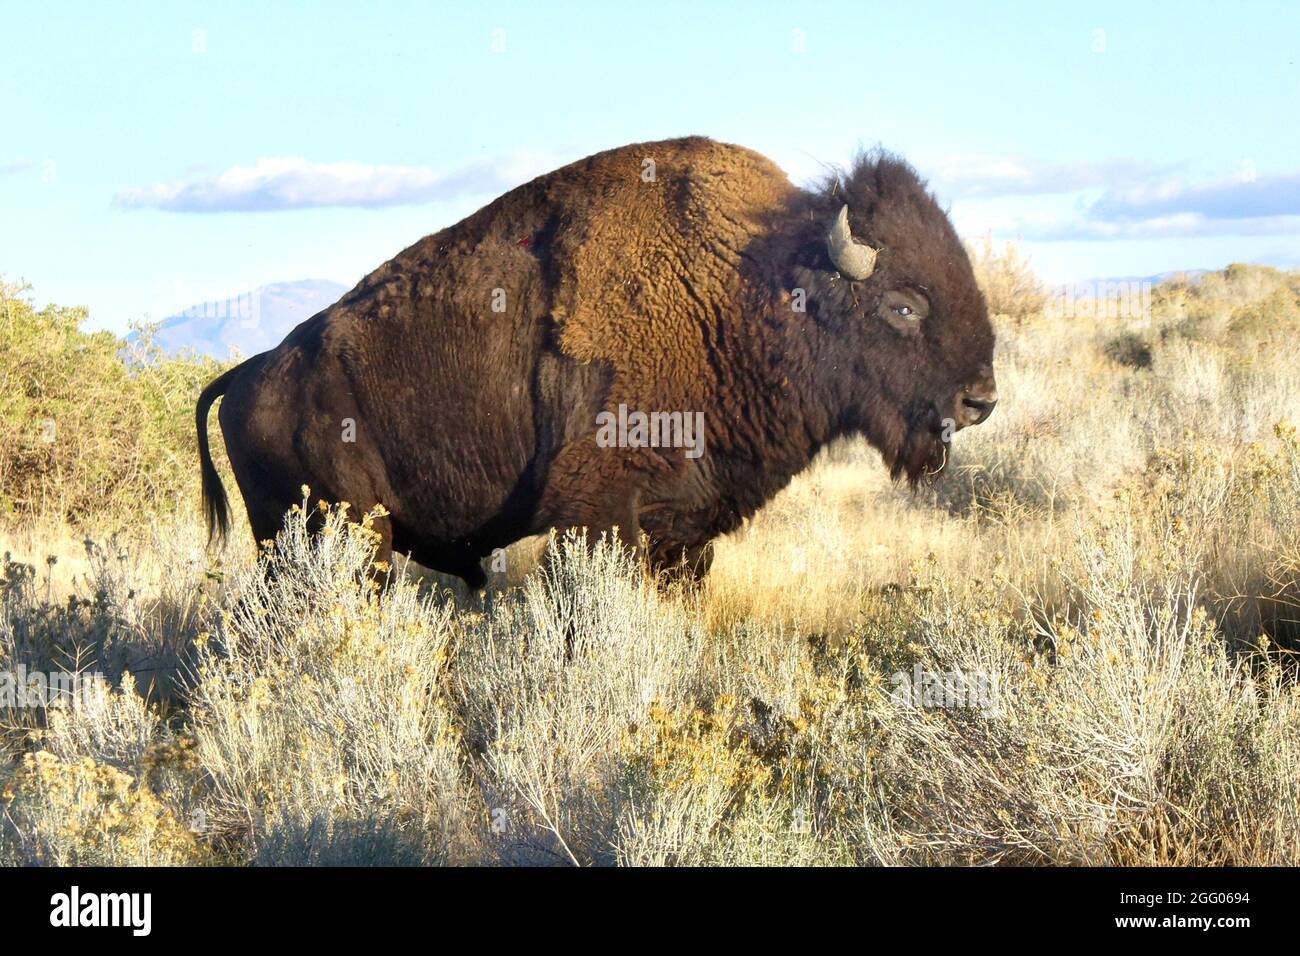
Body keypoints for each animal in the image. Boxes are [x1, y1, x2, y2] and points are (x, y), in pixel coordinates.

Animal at [197, 133, 998, 582]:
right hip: (337, 530)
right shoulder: (602, 511)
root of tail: (247, 376)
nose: (980, 400)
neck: (747, 288)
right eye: (904, 305)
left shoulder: (684, 527)